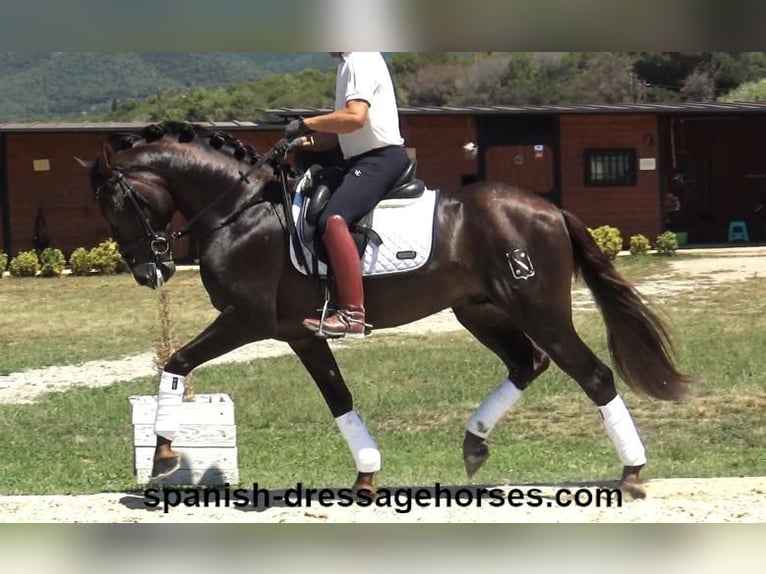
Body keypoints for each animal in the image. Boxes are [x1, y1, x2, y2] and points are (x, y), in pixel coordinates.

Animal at [78, 121, 696, 500]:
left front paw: (161, 452)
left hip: (538, 308)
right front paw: (367, 475)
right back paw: (474, 443)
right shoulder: (299, 334)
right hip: (479, 310)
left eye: (117, 202)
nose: (149, 272)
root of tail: (548, 209)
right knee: (528, 364)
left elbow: (177, 362)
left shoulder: (245, 318)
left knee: (593, 375)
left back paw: (632, 473)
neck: (239, 208)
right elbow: (339, 398)